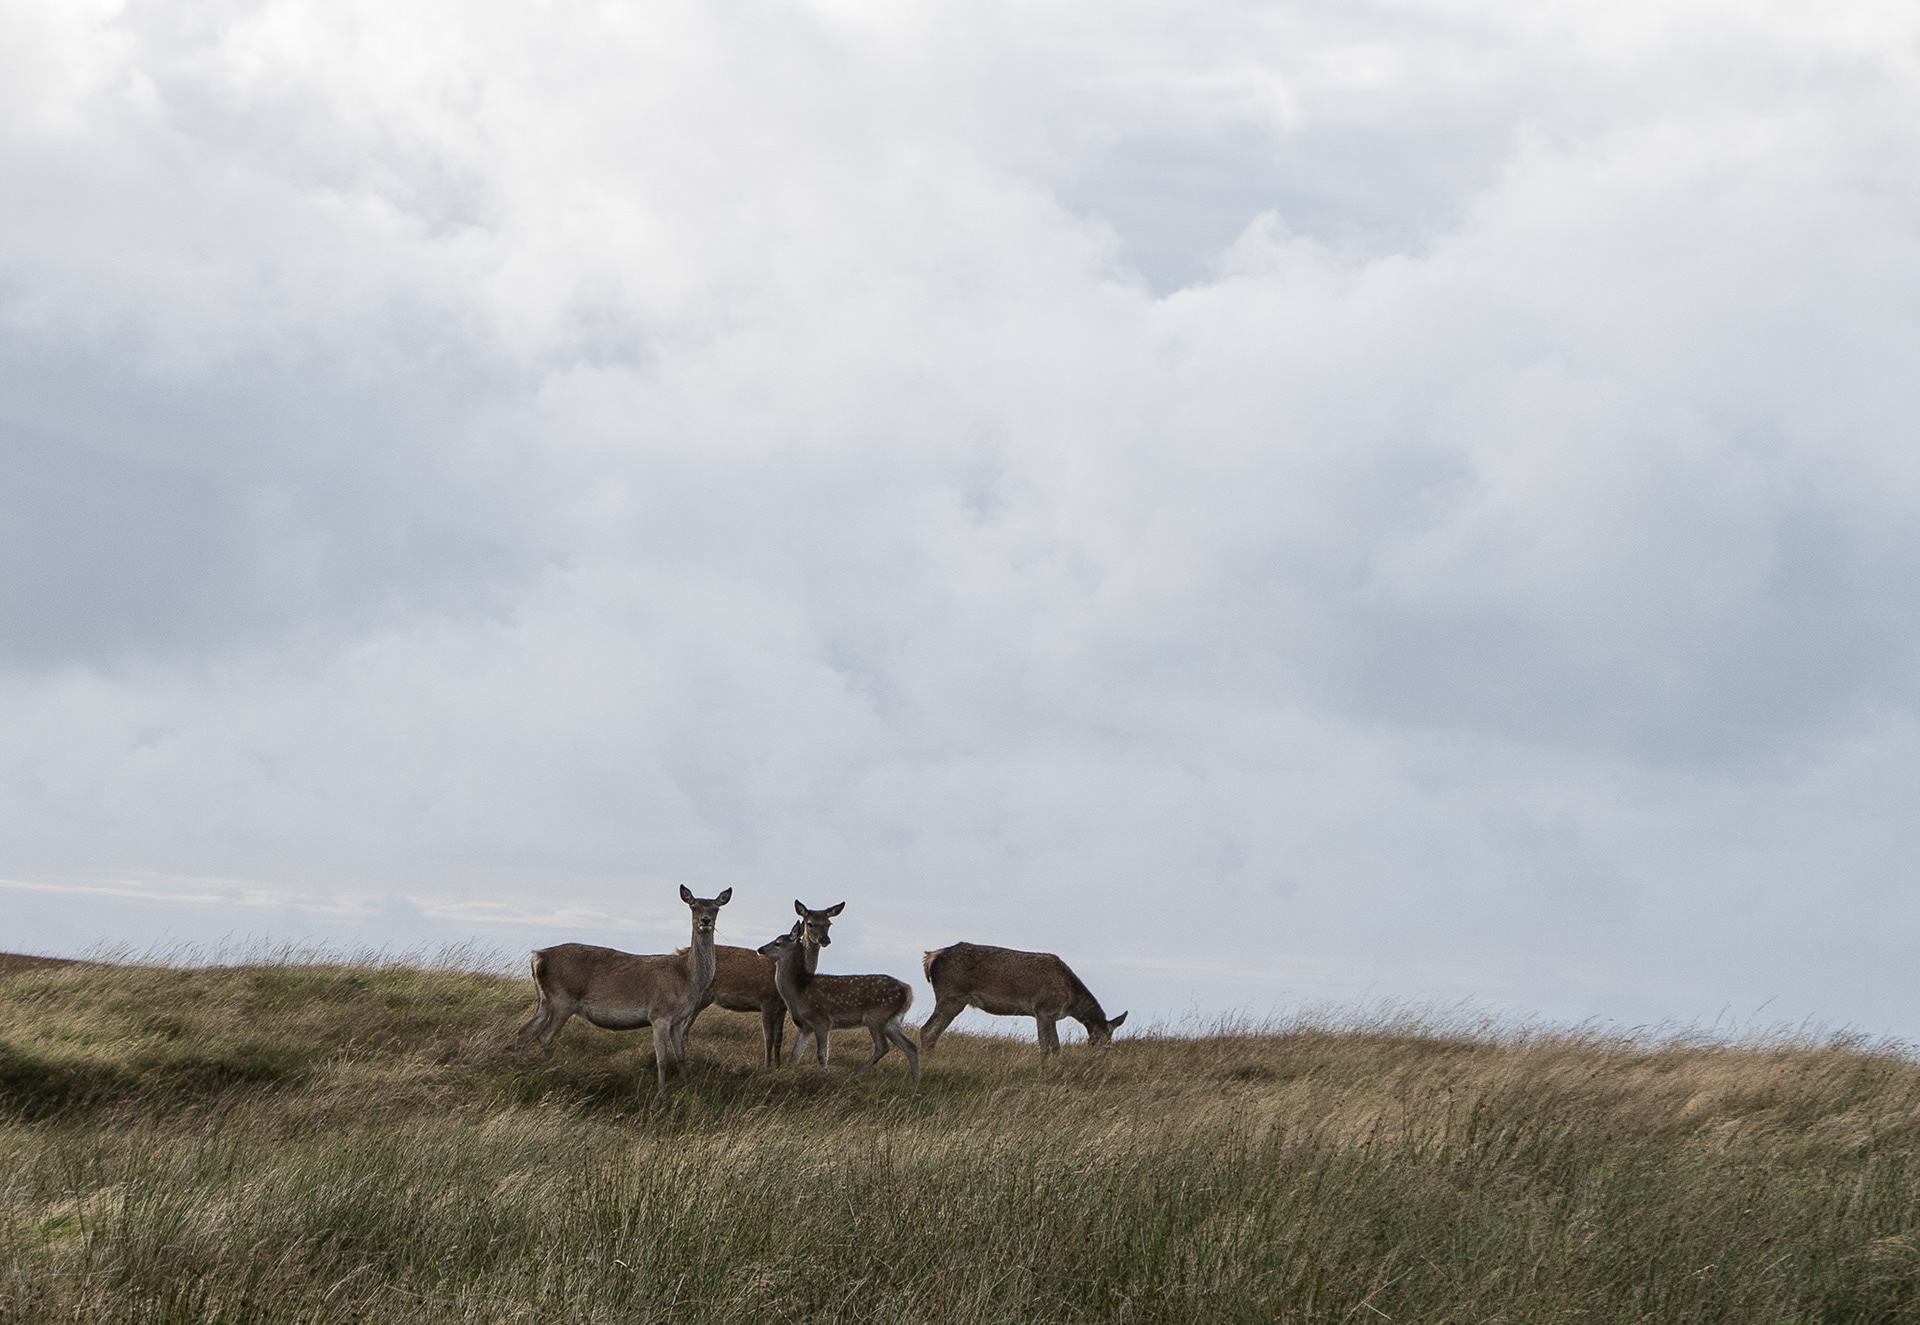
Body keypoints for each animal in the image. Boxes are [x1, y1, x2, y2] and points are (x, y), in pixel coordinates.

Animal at [513, 885, 731, 1094]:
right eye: (693, 906)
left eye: (716, 908)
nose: (705, 920)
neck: (686, 979)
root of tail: (537, 957)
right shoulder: (659, 1014)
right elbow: (662, 1060)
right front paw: (661, 1093)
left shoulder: (677, 1019)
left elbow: (681, 1056)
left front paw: (686, 1086)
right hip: (563, 999)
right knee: (544, 1036)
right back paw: (555, 1071)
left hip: (544, 999)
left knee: (524, 1032)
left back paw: (518, 1069)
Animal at [682, 900, 844, 1067]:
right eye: (810, 923)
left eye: (829, 923)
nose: (824, 940)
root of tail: (680, 951)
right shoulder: (766, 1001)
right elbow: (768, 1038)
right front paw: (767, 1065)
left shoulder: (782, 1008)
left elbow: (779, 1038)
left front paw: (778, 1065)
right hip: (700, 996)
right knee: (685, 1025)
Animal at [756, 922, 919, 1085]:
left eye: (777, 943)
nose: (760, 949)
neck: (798, 990)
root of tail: (907, 991)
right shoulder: (805, 1026)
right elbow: (795, 1054)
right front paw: (790, 1075)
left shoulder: (821, 1020)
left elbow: (822, 1054)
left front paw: (825, 1075)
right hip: (892, 1021)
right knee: (910, 1047)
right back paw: (915, 1082)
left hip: (876, 1015)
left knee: (882, 1047)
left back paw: (856, 1076)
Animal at [919, 942, 1126, 1056]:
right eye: (1098, 1041)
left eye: (1110, 1044)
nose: (1097, 1061)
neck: (1071, 1000)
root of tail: (931, 957)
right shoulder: (1043, 1010)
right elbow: (1049, 1047)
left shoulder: (1048, 1015)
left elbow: (1051, 1046)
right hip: (952, 996)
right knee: (927, 1031)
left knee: (932, 1032)